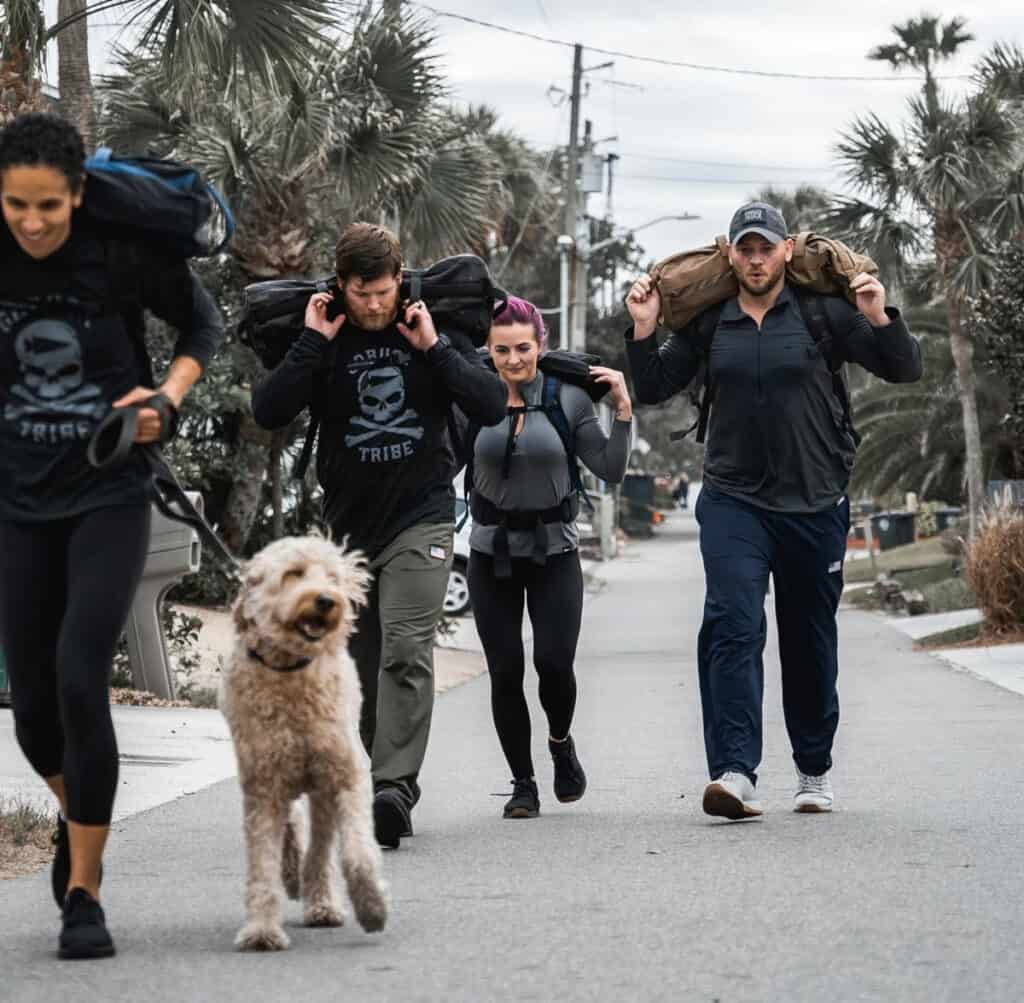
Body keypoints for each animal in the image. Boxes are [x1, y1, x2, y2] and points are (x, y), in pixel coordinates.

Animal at [220, 532, 387, 950]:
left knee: (320, 846)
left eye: (331, 576)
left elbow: (356, 853)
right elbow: (262, 865)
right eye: (293, 573)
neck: (290, 672)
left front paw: (372, 907)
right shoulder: (263, 789)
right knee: (293, 829)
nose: (327, 599)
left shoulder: (346, 777)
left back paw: (320, 901)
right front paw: (262, 930)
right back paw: (295, 877)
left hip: (323, 784)